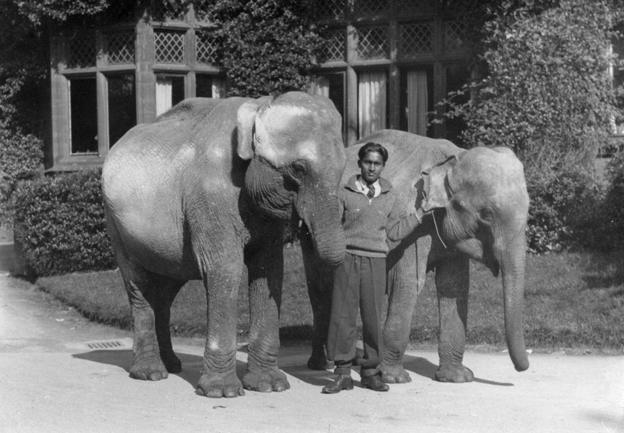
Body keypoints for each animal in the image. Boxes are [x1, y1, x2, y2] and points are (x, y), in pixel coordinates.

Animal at [102, 92, 346, 398]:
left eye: (344, 169)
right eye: (299, 169)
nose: (329, 378)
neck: (258, 106)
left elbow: (269, 270)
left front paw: (269, 386)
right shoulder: (210, 193)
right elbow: (225, 269)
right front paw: (223, 392)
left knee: (166, 291)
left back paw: (172, 365)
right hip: (117, 227)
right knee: (139, 286)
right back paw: (151, 373)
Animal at [304, 128, 528, 382]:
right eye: (487, 215)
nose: (523, 369)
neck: (453, 159)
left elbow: (454, 286)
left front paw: (458, 378)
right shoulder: (409, 223)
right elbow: (408, 283)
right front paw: (394, 378)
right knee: (323, 289)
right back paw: (323, 364)